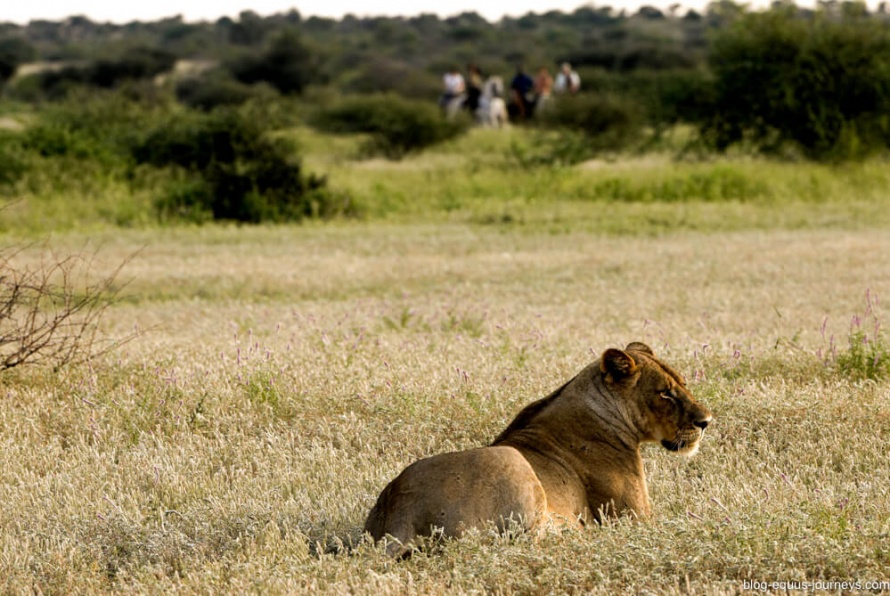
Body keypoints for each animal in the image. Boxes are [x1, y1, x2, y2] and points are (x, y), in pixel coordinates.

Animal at [360, 342, 708, 556]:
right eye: (665, 393)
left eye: (684, 383)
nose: (706, 421)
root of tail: (398, 510)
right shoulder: (632, 517)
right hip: (512, 461)